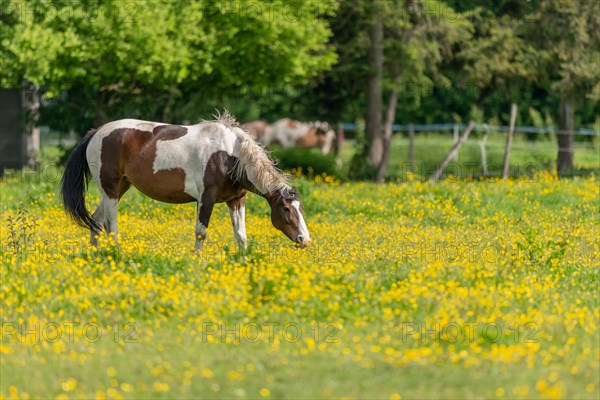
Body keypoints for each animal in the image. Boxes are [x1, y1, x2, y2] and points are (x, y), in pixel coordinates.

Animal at [61, 112, 312, 250]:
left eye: (301, 209)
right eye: (287, 209)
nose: (305, 240)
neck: (229, 155)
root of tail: (96, 132)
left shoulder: (236, 200)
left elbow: (241, 235)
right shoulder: (206, 198)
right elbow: (201, 232)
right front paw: (198, 261)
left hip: (117, 188)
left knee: (95, 222)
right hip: (111, 190)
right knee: (110, 226)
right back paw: (117, 254)